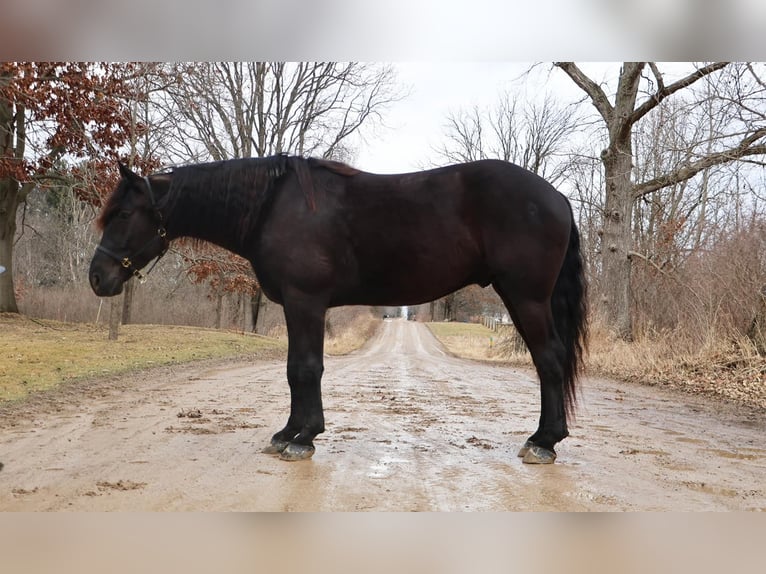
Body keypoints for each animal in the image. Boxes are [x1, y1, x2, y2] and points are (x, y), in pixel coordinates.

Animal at [89, 155, 587, 464]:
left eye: (123, 215)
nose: (98, 277)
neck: (272, 207)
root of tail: (557, 197)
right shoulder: (299, 305)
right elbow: (295, 368)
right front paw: (288, 433)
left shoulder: (305, 301)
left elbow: (305, 368)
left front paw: (304, 437)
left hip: (525, 297)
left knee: (549, 360)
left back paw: (543, 443)